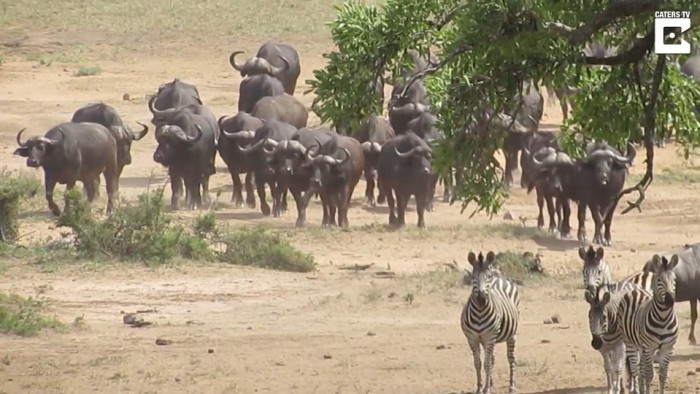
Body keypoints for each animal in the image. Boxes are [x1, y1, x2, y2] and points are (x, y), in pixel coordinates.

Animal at [460, 252, 520, 394]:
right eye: (473, 277)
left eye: (488, 277)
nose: (481, 299)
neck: (480, 313)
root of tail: (499, 278)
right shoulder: (472, 338)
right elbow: (478, 363)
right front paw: (480, 387)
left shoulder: (489, 337)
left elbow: (486, 364)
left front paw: (486, 389)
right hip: (489, 339)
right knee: (492, 359)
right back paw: (491, 382)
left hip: (510, 335)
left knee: (511, 358)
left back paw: (511, 385)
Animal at [616, 254, 680, 392]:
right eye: (659, 280)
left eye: (674, 279)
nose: (670, 300)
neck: (663, 319)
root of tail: (636, 289)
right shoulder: (649, 347)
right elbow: (650, 374)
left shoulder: (668, 348)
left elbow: (663, 375)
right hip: (630, 343)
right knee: (635, 369)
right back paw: (635, 390)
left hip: (641, 346)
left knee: (641, 371)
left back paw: (641, 389)